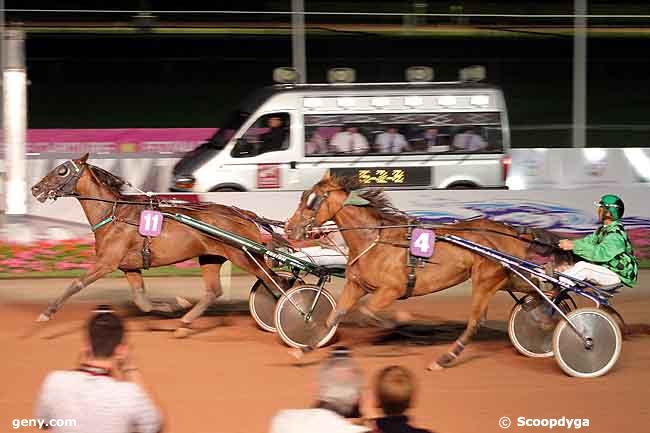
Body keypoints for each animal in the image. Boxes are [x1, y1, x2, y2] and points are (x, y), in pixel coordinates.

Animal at [30, 154, 284, 336]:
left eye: (62, 170)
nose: (35, 189)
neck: (113, 214)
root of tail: (243, 214)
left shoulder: (106, 262)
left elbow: (76, 283)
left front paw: (46, 313)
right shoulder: (130, 267)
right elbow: (142, 301)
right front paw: (175, 306)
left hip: (244, 255)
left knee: (274, 281)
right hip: (211, 256)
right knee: (214, 291)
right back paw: (183, 324)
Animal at [284, 172, 568, 368]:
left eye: (311, 202)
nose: (289, 229)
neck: (375, 239)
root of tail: (513, 232)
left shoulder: (392, 289)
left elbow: (368, 312)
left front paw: (401, 323)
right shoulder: (357, 286)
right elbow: (333, 317)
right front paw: (304, 347)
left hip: (486, 280)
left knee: (476, 321)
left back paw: (445, 358)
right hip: (507, 277)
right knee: (536, 293)